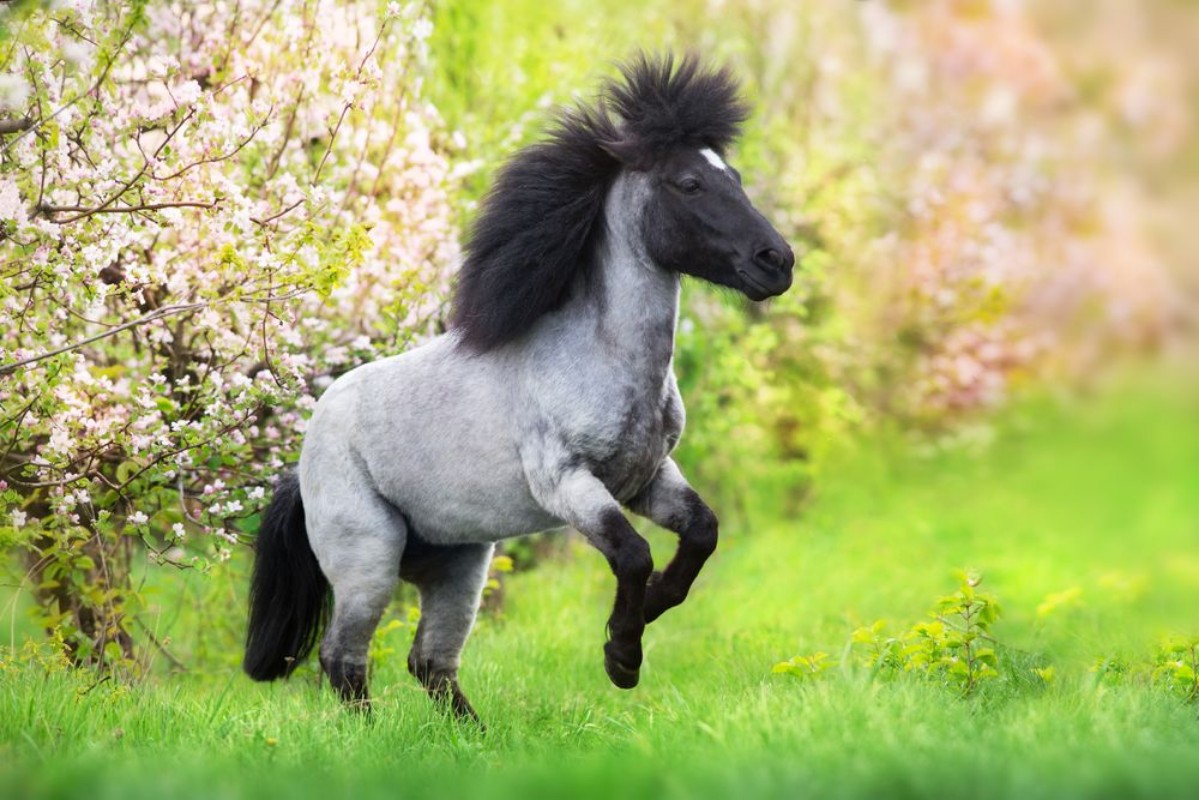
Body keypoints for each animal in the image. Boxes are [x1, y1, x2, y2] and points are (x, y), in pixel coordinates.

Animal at [243, 53, 794, 722]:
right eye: (689, 183)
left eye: (732, 175)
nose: (777, 262)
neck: (597, 357)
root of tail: (300, 465)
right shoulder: (566, 483)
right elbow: (633, 554)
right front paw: (621, 658)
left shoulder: (648, 478)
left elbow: (701, 535)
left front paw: (647, 613)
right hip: (367, 561)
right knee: (344, 661)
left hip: (459, 564)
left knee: (430, 662)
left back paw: (473, 737)